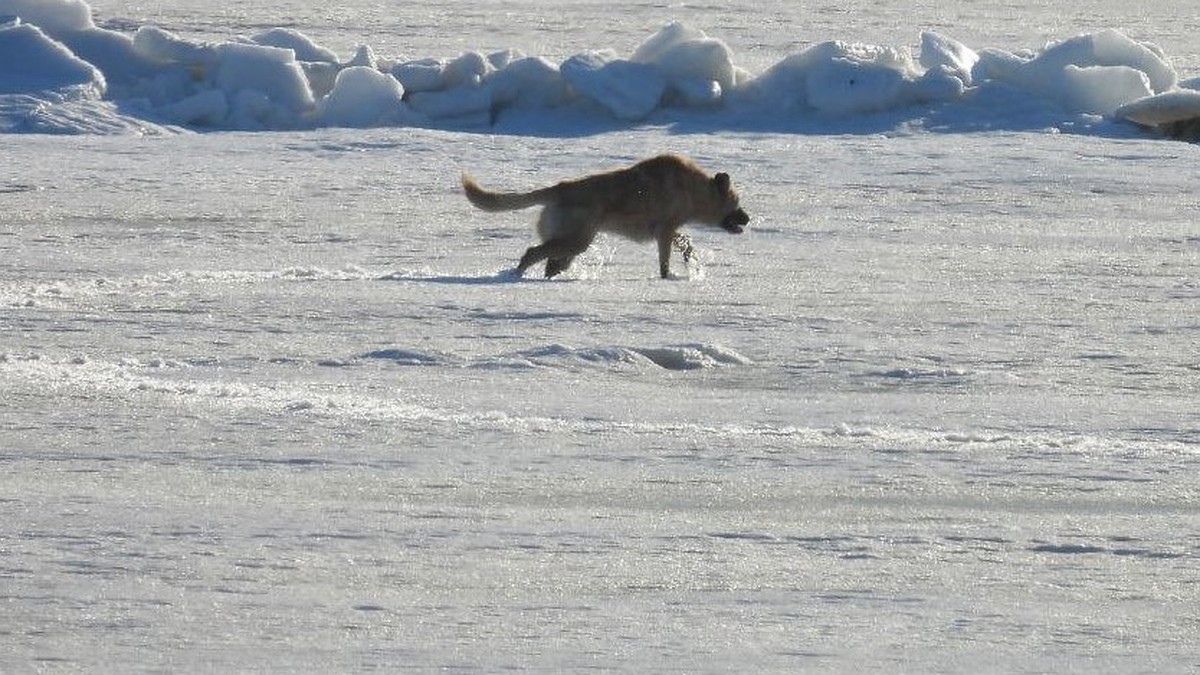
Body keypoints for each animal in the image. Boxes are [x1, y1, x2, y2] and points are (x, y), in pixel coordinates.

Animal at [460, 153, 748, 277]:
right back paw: (515, 275)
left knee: (551, 262)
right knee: (532, 253)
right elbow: (665, 264)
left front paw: (691, 261)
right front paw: (671, 276)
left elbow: (686, 244)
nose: (748, 218)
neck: (693, 188)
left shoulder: (667, 231)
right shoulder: (664, 231)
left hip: (573, 243)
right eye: (736, 202)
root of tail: (558, 189)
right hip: (576, 240)